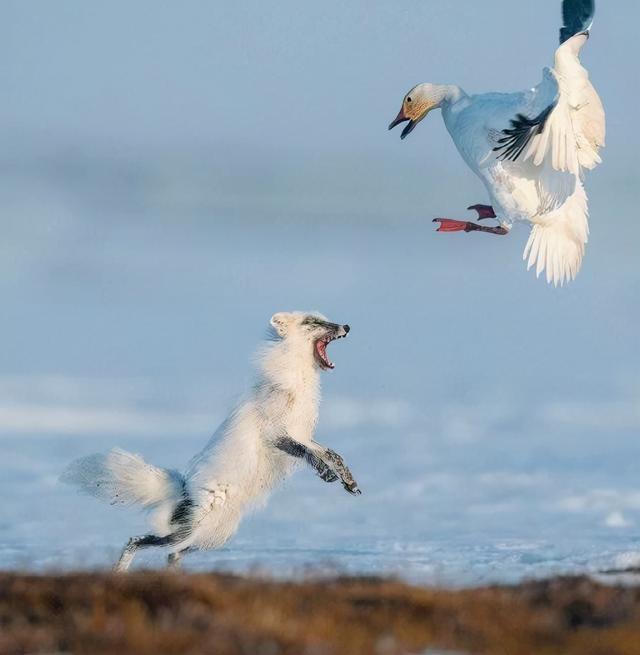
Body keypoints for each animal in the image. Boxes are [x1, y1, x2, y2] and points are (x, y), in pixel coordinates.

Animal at [61, 310, 360, 572]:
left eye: (325, 318)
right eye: (313, 322)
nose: (346, 326)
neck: (299, 381)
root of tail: (183, 488)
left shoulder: (302, 434)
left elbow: (333, 454)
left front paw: (348, 481)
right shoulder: (277, 434)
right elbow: (308, 454)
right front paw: (325, 473)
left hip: (214, 536)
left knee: (172, 554)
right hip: (193, 530)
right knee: (137, 541)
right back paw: (120, 572)